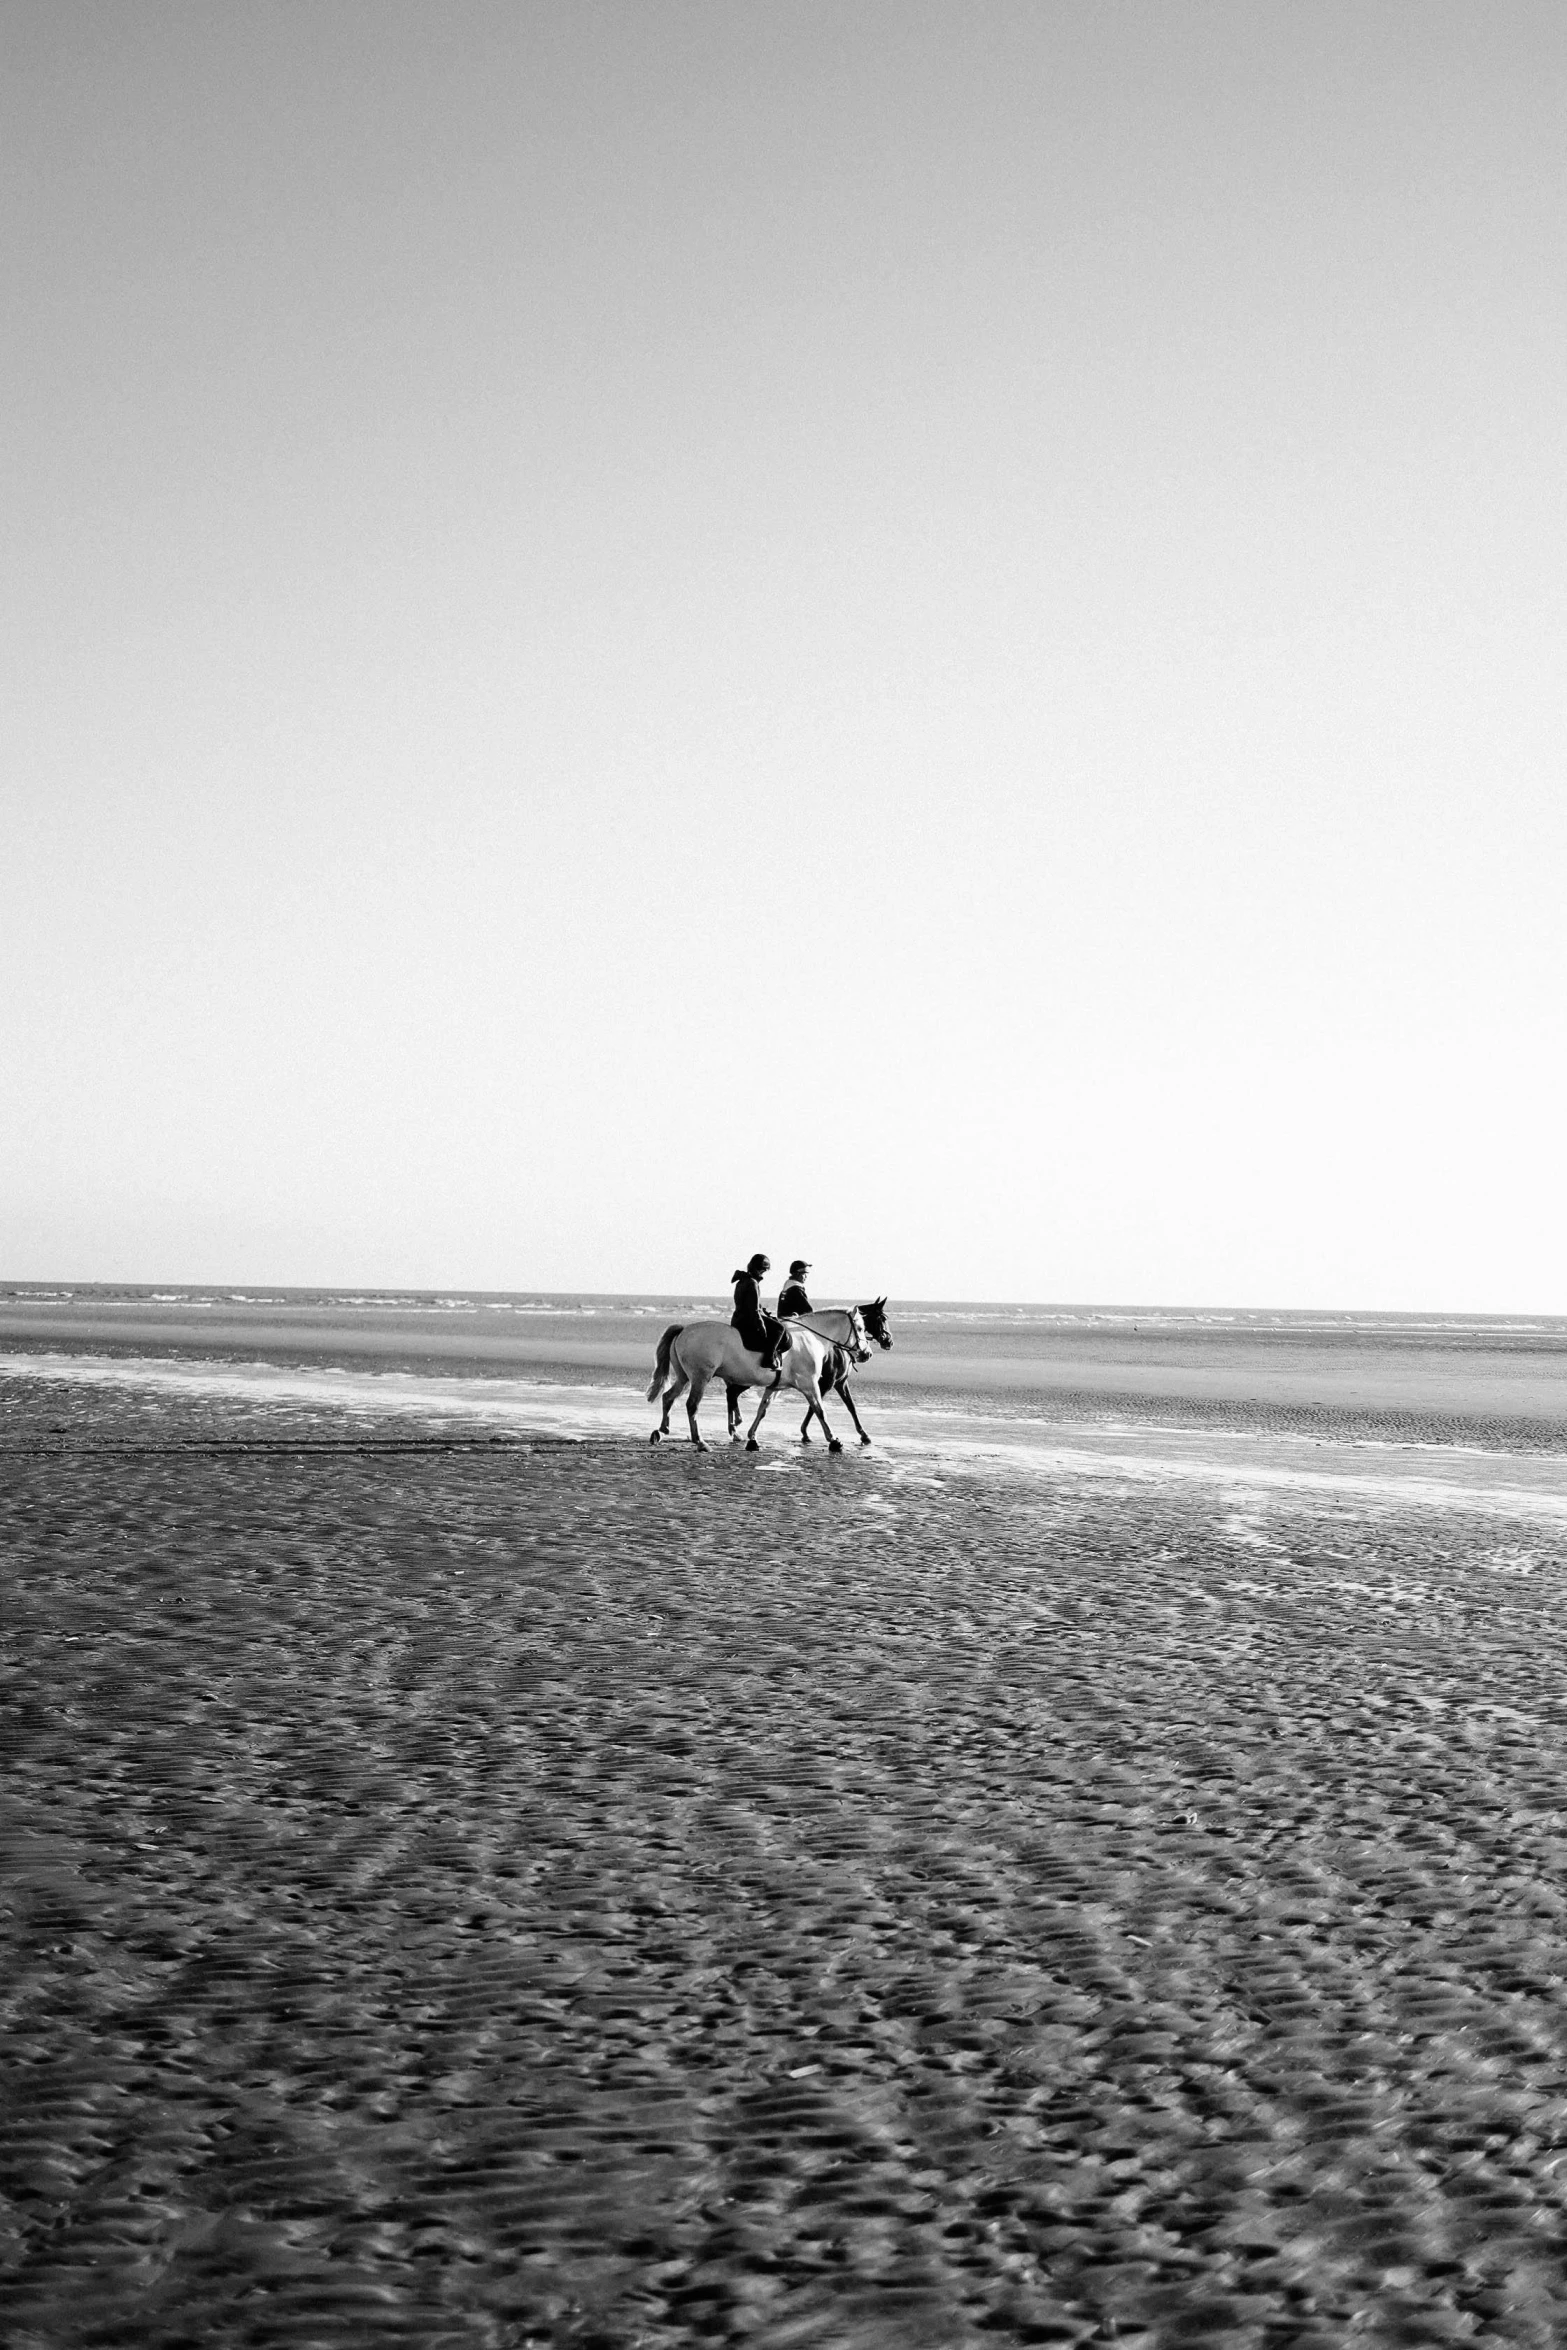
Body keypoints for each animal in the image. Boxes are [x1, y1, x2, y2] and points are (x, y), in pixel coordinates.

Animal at [643, 1306, 878, 1447]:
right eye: (859, 1328)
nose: (867, 1354)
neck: (811, 1338)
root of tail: (683, 1330)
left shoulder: (775, 1387)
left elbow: (762, 1410)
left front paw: (752, 1437)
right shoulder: (810, 1384)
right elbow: (820, 1410)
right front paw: (834, 1440)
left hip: (685, 1378)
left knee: (668, 1397)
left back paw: (662, 1430)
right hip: (700, 1378)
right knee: (692, 1405)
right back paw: (699, 1441)